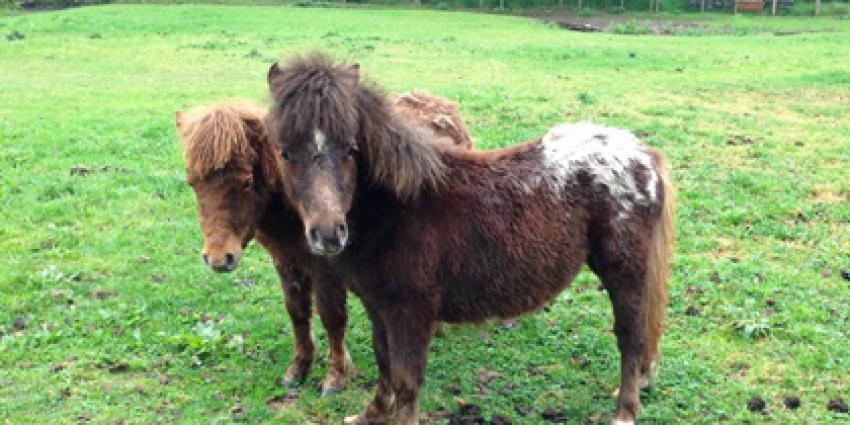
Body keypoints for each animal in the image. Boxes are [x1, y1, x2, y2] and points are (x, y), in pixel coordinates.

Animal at [174, 92, 474, 396]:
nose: (218, 259)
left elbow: (332, 318)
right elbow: (297, 312)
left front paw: (336, 376)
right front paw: (298, 369)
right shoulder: (286, 262)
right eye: (191, 182)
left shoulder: (326, 270)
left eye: (246, 182)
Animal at [266, 53, 675, 425]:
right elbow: (385, 365)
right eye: (284, 152)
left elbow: (407, 382)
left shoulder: (410, 311)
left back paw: (624, 413)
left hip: (624, 274)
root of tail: (644, 155)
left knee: (630, 339)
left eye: (351, 149)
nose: (328, 233)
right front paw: (371, 415)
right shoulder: (378, 305)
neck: (398, 207)